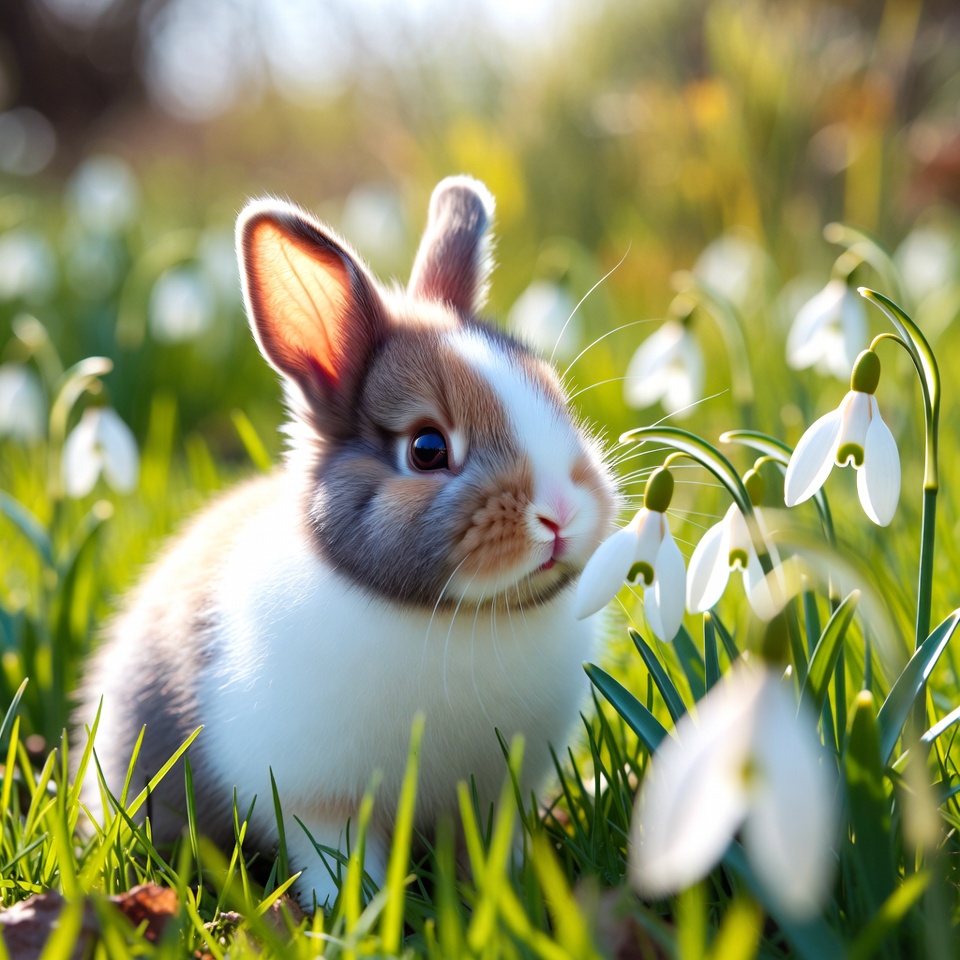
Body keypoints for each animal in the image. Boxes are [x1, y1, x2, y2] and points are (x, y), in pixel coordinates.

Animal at [75, 175, 618, 908]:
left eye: (558, 400)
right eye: (426, 448)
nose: (560, 513)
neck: (453, 616)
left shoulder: (496, 793)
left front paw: (510, 889)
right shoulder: (319, 803)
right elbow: (335, 857)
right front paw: (354, 912)